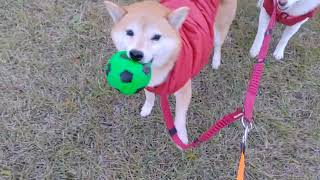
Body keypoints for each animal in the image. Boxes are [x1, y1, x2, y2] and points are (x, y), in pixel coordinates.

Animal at [104, 0, 236, 143]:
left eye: (156, 37)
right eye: (129, 32)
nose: (136, 54)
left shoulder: (184, 90)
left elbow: (180, 118)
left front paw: (181, 137)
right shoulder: (148, 84)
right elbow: (149, 97)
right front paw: (147, 108)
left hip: (220, 28)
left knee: (217, 45)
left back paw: (216, 60)